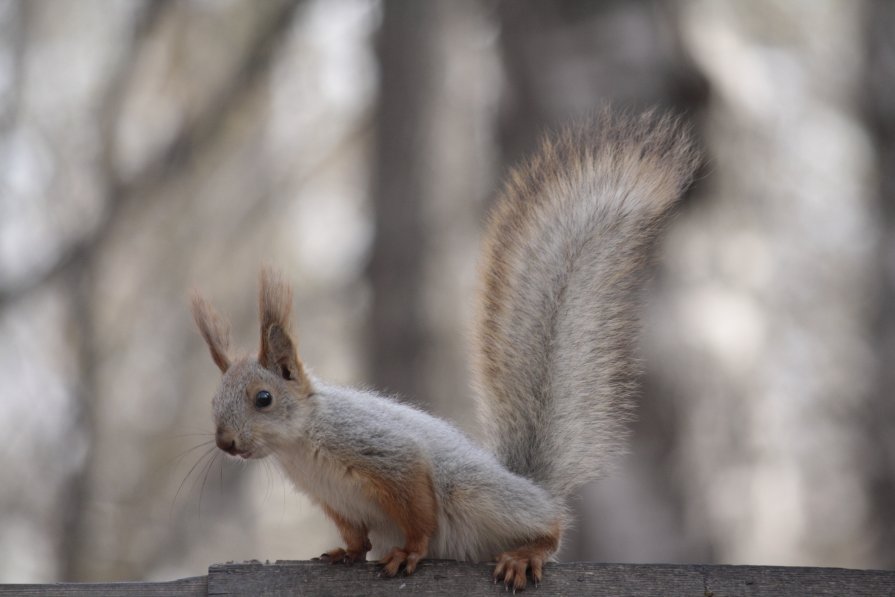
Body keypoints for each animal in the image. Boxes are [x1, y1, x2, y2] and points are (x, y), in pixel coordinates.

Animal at [192, 109, 700, 588]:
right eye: (213, 404)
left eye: (263, 398)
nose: (226, 442)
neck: (298, 444)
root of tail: (531, 486)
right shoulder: (334, 501)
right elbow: (356, 536)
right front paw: (345, 554)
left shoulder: (388, 454)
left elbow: (417, 510)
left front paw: (409, 552)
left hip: (474, 492)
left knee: (550, 527)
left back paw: (527, 552)